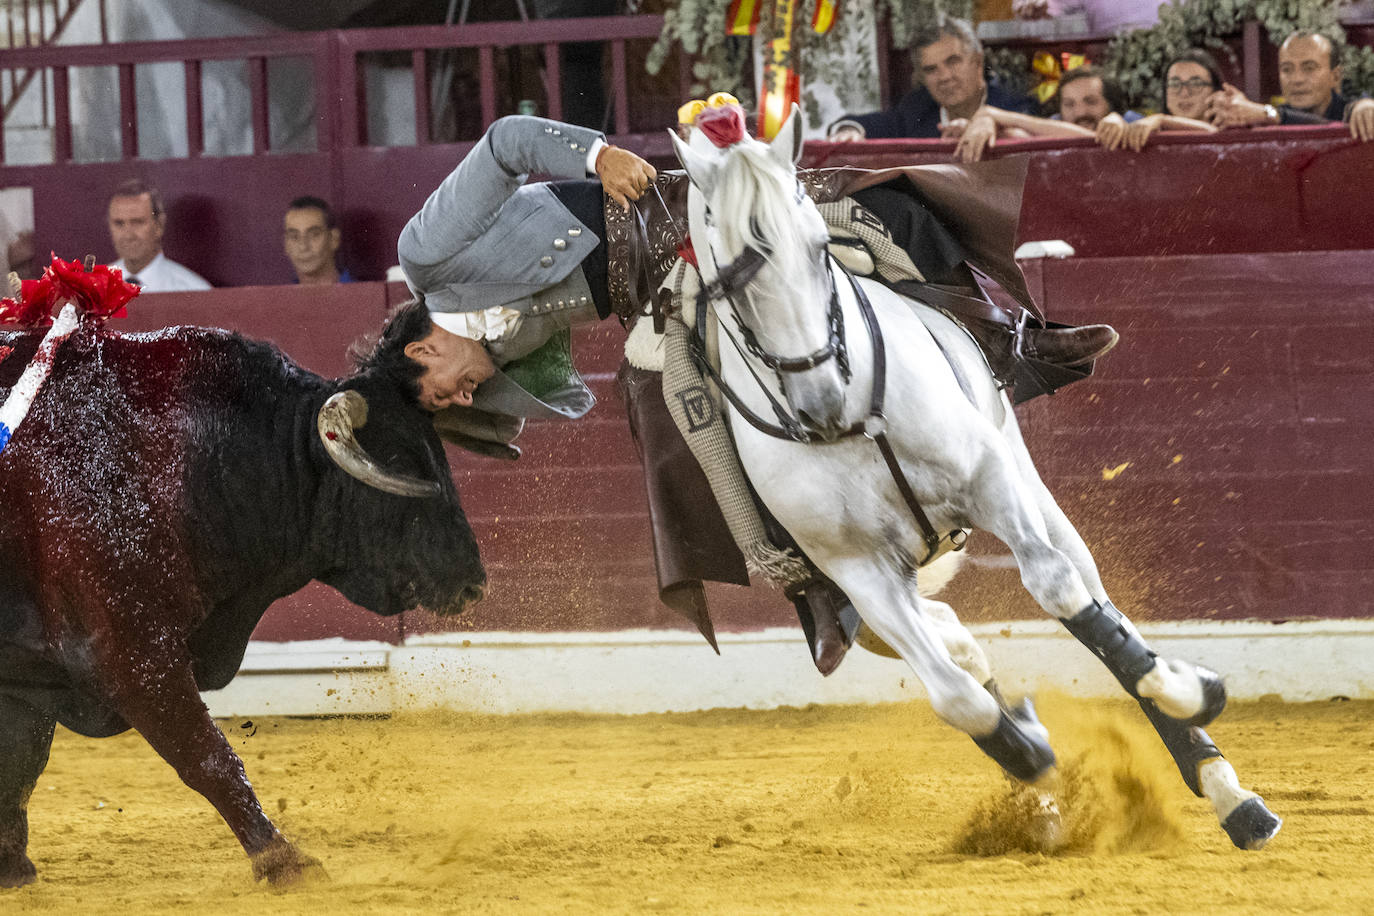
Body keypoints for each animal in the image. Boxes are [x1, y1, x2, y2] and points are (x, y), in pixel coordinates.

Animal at [0, 324, 486, 889]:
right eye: (405, 463)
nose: (474, 581)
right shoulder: (132, 651)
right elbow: (206, 755)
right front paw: (285, 860)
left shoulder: (27, 673)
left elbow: (19, 764)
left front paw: (12, 869)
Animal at [670, 109, 1280, 851]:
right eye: (730, 281)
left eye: (818, 249)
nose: (820, 398)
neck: (852, 418)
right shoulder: (857, 571)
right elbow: (956, 697)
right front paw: (1030, 750)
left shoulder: (989, 482)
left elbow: (1060, 592)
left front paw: (1195, 692)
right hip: (854, 609)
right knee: (955, 642)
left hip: (1032, 490)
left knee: (1087, 594)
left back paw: (1227, 788)